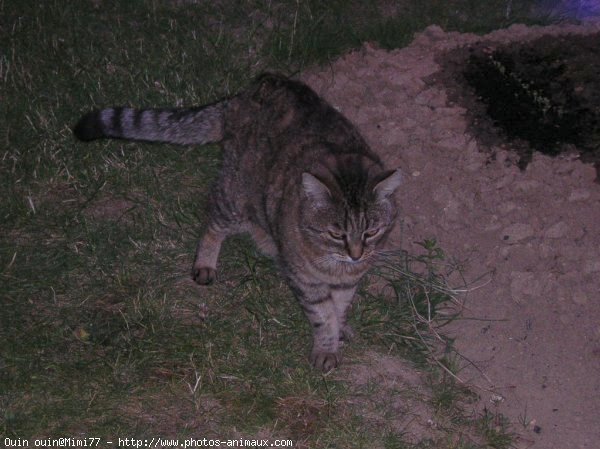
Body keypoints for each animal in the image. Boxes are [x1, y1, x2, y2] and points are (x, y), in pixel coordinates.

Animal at [75, 73, 404, 372]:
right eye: (336, 233)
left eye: (372, 231)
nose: (357, 254)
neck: (335, 265)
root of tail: (252, 86)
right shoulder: (306, 280)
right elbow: (323, 315)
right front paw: (327, 345)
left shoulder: (348, 282)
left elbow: (339, 307)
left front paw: (341, 327)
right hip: (235, 197)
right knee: (212, 222)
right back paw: (206, 262)